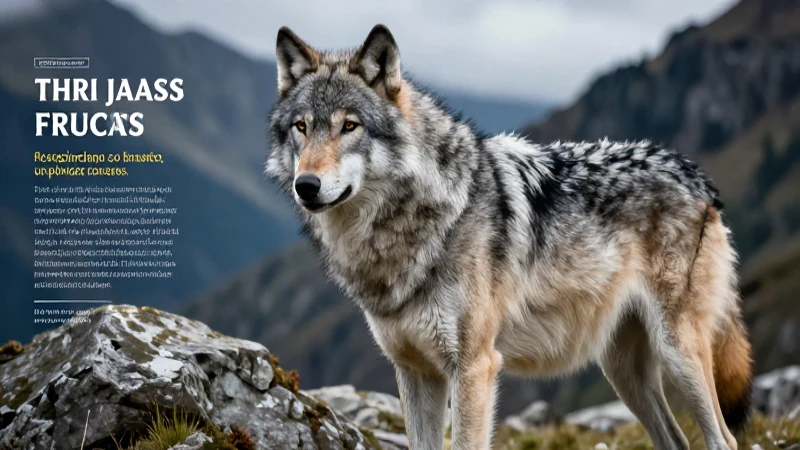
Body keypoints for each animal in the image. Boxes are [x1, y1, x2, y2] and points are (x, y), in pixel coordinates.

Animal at [266, 24, 753, 450]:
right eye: (302, 127)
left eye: (349, 126)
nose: (306, 185)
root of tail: (691, 172)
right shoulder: (415, 371)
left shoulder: (474, 367)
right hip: (623, 371)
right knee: (675, 440)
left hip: (678, 352)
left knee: (723, 439)